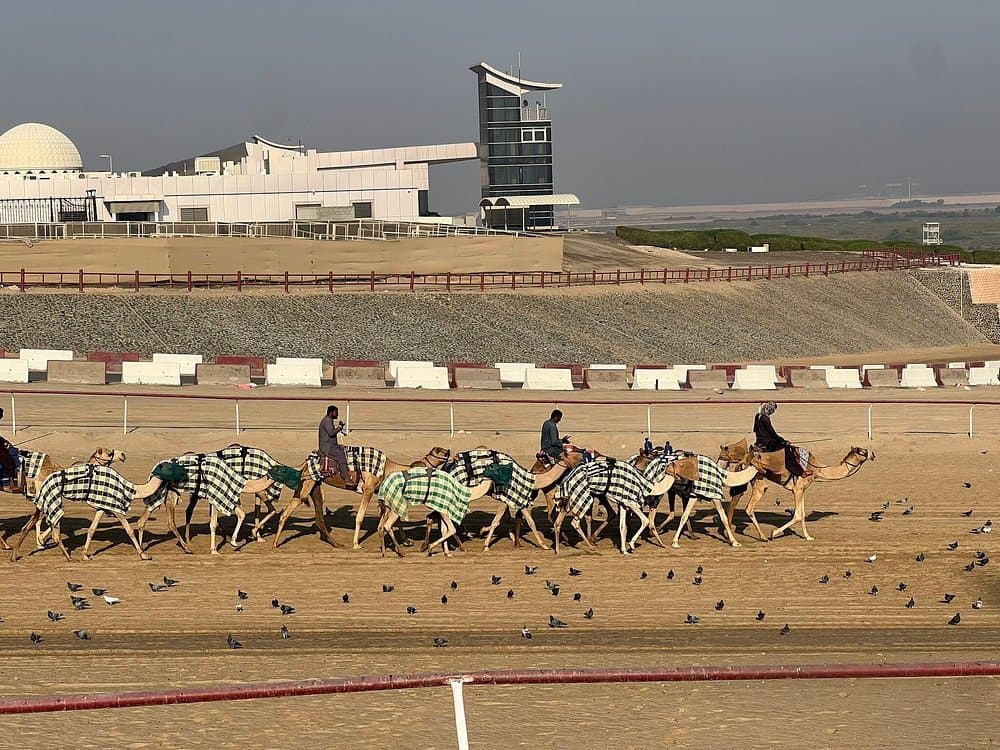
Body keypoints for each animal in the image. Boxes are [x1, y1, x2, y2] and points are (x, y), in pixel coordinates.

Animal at [9, 462, 188, 562]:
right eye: (172, 467)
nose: (185, 474)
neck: (131, 489)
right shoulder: (116, 507)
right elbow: (129, 530)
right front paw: (144, 555)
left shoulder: (103, 506)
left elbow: (92, 529)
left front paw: (85, 554)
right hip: (53, 499)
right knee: (53, 529)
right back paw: (68, 557)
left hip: (43, 502)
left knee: (27, 526)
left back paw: (14, 556)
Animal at [270, 446, 451, 549]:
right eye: (439, 451)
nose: (450, 452)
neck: (387, 468)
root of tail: (305, 463)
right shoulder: (368, 490)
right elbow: (360, 517)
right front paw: (356, 544)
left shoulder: (379, 492)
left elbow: (393, 516)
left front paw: (407, 542)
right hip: (308, 484)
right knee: (288, 512)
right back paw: (275, 543)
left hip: (315, 486)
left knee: (319, 517)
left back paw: (336, 544)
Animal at [718, 437, 874, 541]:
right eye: (862, 451)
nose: (873, 454)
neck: (815, 468)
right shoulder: (798, 488)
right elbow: (798, 515)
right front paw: (774, 533)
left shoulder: (802, 489)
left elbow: (803, 513)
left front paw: (808, 537)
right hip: (758, 478)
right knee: (750, 507)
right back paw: (763, 536)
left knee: (733, 503)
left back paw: (729, 534)